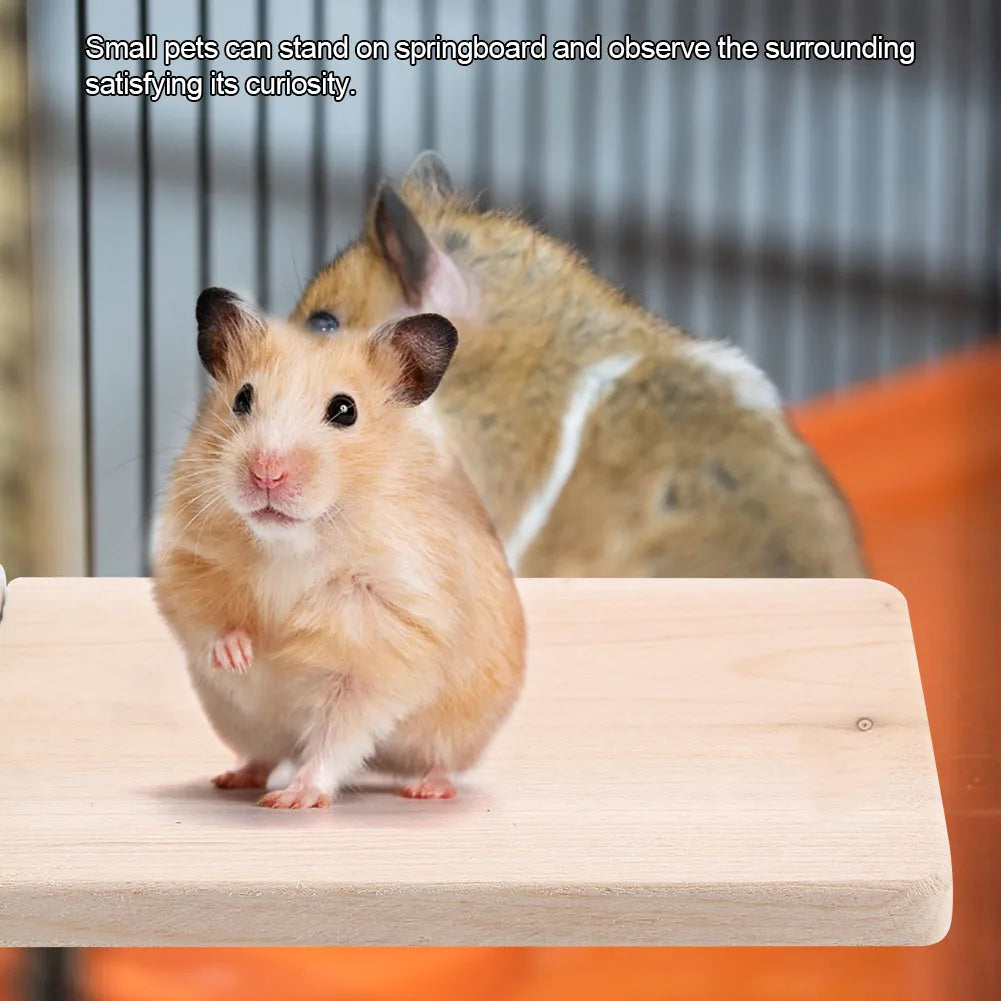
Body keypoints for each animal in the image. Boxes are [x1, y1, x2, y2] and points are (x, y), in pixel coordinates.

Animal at [153, 287, 525, 808]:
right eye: (242, 398)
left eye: (345, 410)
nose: (266, 473)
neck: (293, 542)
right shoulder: (186, 560)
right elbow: (205, 619)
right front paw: (241, 655)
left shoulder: (380, 645)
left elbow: (338, 732)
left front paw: (294, 800)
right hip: (242, 722)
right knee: (265, 753)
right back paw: (233, 778)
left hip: (458, 727)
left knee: (437, 760)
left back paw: (425, 789)